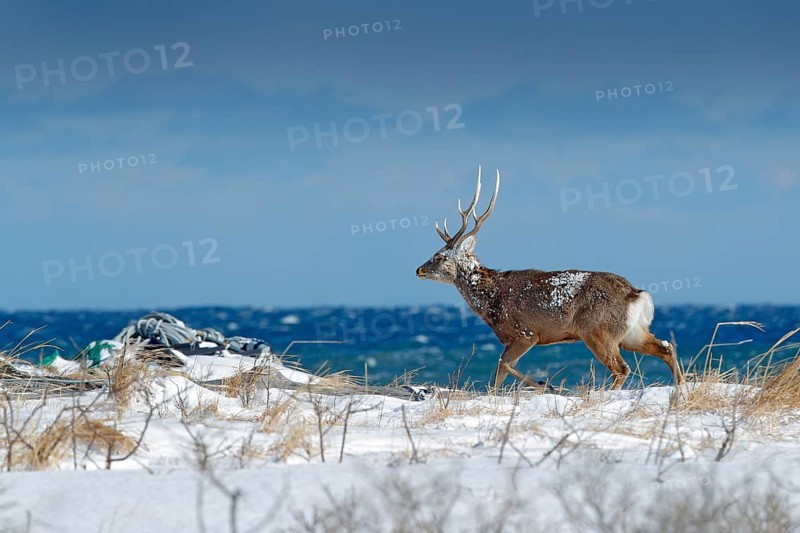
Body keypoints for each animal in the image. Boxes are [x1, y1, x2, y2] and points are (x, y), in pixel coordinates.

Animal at [415, 167, 684, 392]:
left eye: (438, 257)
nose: (418, 270)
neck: (492, 301)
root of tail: (636, 294)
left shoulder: (525, 332)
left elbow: (502, 367)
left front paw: (541, 384)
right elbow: (499, 373)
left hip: (598, 330)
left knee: (622, 368)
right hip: (631, 332)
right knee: (666, 347)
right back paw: (680, 386)